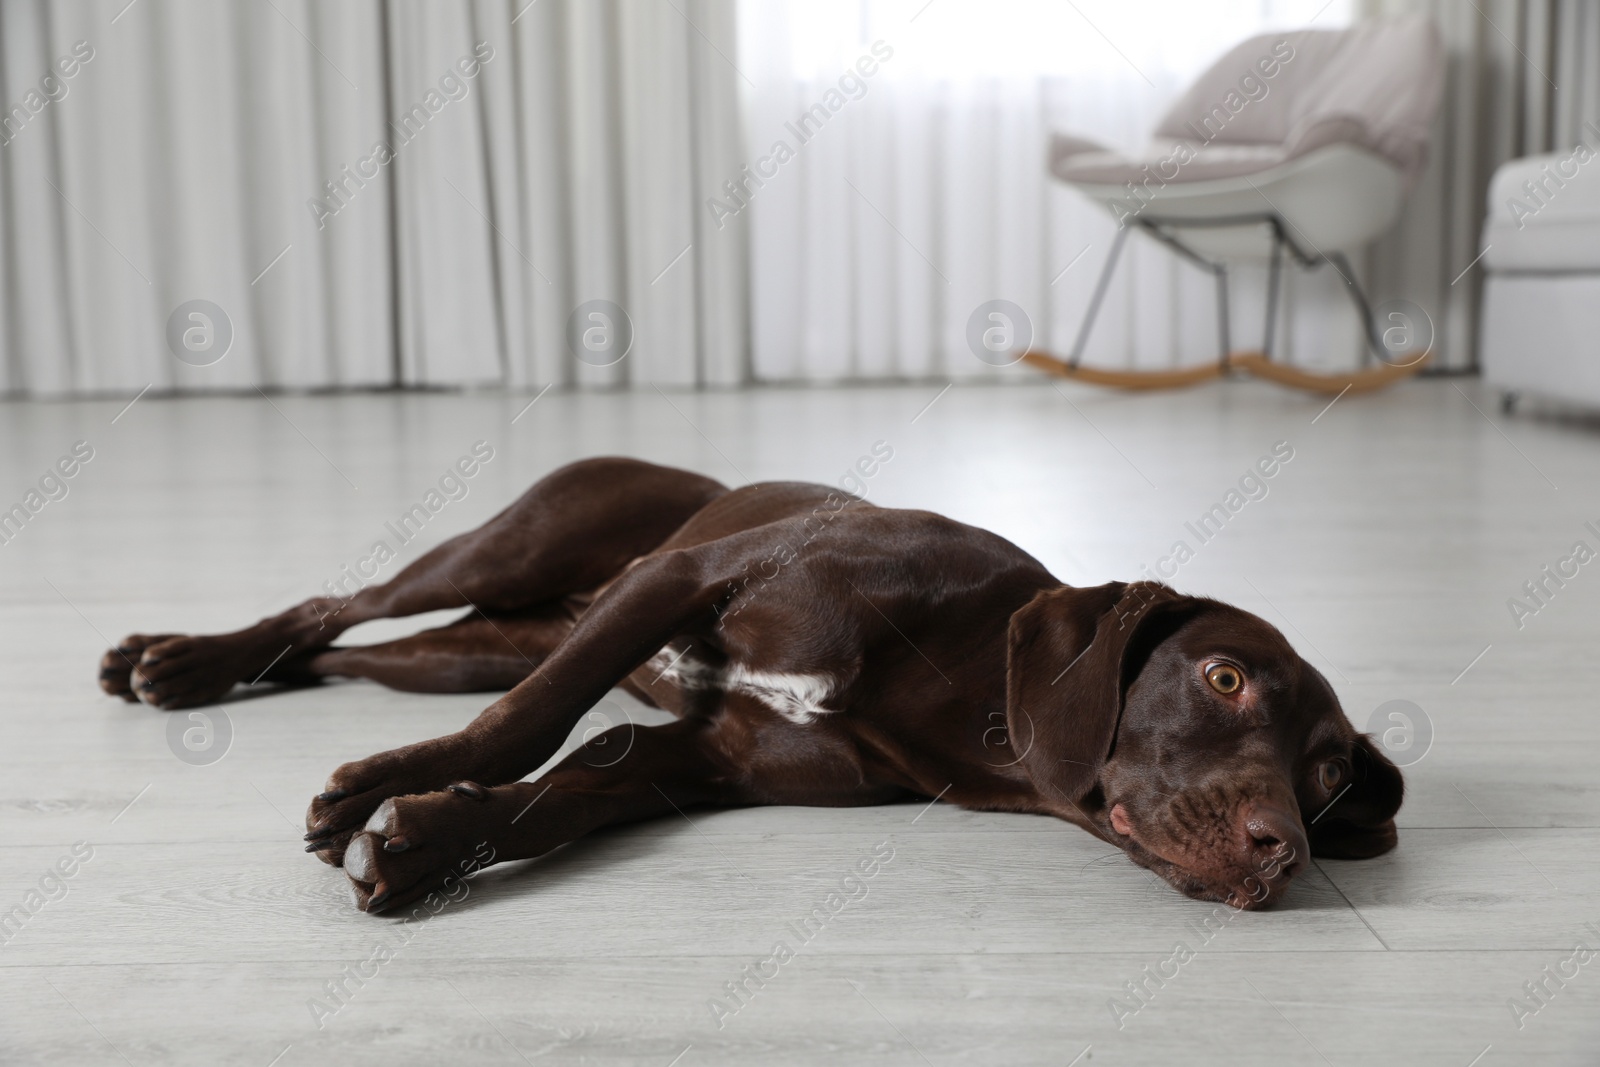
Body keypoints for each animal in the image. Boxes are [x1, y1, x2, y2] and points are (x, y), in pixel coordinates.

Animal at [96, 454, 1401, 915]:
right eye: (1223, 676)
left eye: (1329, 773)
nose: (1285, 849)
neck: (967, 688)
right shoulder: (678, 577)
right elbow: (528, 729)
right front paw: (385, 795)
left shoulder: (690, 757)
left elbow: (558, 793)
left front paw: (423, 842)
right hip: (509, 556)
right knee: (342, 605)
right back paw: (181, 659)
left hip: (472, 644)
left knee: (344, 651)